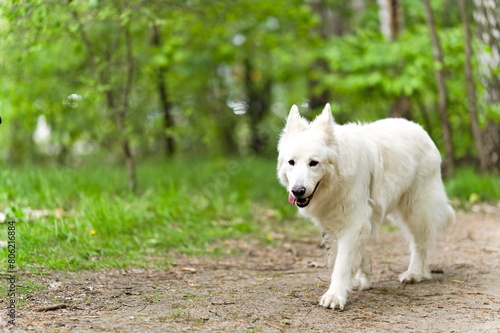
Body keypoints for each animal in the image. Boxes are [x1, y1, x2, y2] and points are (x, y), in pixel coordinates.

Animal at [276, 104, 456, 308]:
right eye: (291, 162)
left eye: (313, 163)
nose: (297, 191)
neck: (336, 179)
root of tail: (420, 129)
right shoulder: (347, 221)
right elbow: (355, 254)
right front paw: (363, 277)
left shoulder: (353, 222)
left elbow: (342, 264)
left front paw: (335, 295)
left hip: (415, 210)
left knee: (419, 243)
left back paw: (415, 273)